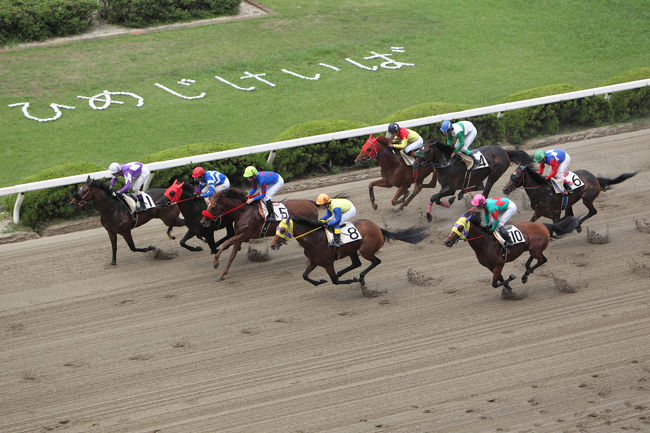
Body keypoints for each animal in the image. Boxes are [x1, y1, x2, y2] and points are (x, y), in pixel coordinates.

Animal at [270, 216, 428, 296]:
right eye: (276, 229)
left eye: (282, 230)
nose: (272, 245)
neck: (314, 239)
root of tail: (378, 227)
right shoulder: (313, 261)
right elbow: (305, 276)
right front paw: (319, 281)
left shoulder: (327, 263)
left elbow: (334, 281)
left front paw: (354, 279)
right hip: (353, 250)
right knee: (356, 263)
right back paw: (346, 273)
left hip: (365, 250)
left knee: (376, 261)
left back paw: (360, 277)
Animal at [442, 209, 580, 296]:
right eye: (453, 226)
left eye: (460, 227)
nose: (447, 242)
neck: (485, 243)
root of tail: (543, 226)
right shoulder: (490, 266)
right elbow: (499, 279)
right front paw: (508, 288)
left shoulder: (499, 263)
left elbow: (494, 283)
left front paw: (511, 279)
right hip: (533, 249)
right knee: (536, 258)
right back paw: (526, 271)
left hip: (535, 249)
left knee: (543, 260)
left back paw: (525, 275)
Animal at [502, 163, 632, 230]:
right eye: (510, 175)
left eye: (517, 176)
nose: (505, 189)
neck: (542, 191)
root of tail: (594, 177)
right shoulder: (538, 212)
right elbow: (532, 221)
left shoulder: (555, 213)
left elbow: (556, 224)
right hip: (569, 202)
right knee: (571, 214)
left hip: (587, 198)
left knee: (592, 211)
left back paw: (578, 225)